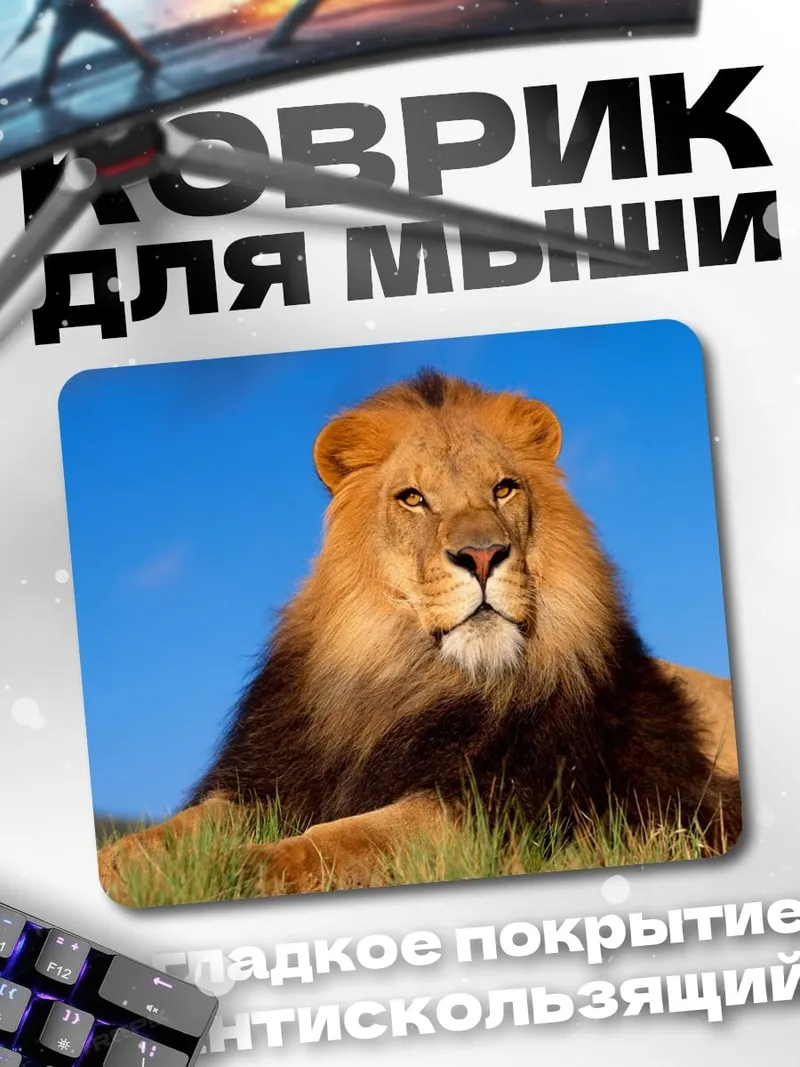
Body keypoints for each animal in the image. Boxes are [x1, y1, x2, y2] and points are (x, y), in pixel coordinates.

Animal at [98, 368, 741, 900]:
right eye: (413, 498)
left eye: (504, 488)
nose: (482, 555)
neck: (407, 677)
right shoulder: (268, 779)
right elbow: (169, 833)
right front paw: (122, 868)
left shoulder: (493, 809)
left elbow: (338, 841)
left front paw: (239, 868)